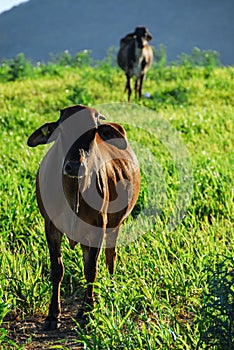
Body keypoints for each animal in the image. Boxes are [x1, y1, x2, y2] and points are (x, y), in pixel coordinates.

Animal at [27, 104, 141, 330]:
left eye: (92, 133)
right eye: (62, 131)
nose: (74, 166)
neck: (72, 192)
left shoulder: (99, 226)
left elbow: (91, 270)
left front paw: (88, 311)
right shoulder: (50, 227)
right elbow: (57, 270)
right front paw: (53, 315)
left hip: (114, 225)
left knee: (110, 256)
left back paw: (112, 288)